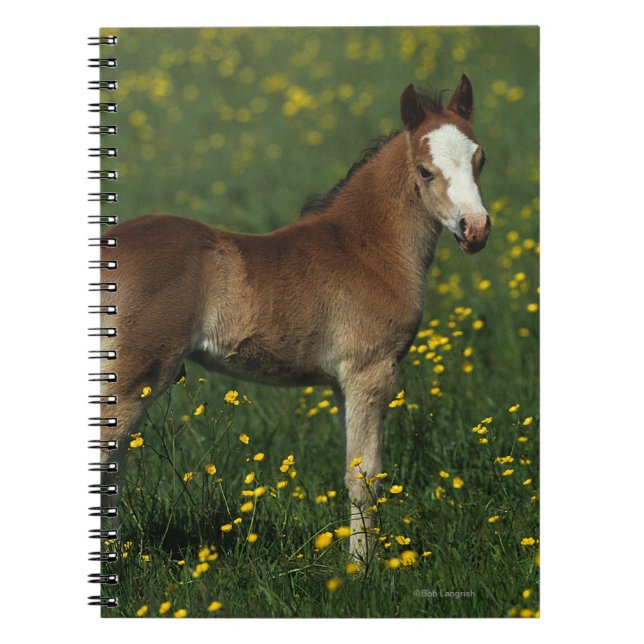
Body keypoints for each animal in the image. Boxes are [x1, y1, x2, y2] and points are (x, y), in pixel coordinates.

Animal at [97, 75, 490, 560]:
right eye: (424, 170)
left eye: (480, 160)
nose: (475, 229)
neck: (367, 249)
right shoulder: (372, 371)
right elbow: (364, 478)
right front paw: (362, 568)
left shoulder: (343, 383)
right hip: (134, 376)